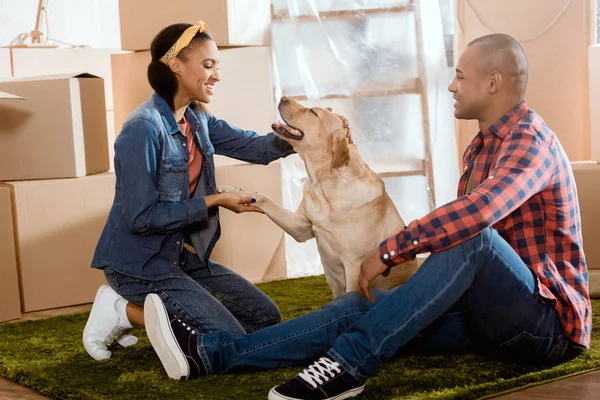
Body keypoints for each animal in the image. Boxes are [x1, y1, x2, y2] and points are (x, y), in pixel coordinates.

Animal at [218, 97, 420, 296]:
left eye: (313, 112)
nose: (283, 97)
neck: (323, 184)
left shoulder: (354, 265)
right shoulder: (300, 227)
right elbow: (262, 198)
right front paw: (231, 190)